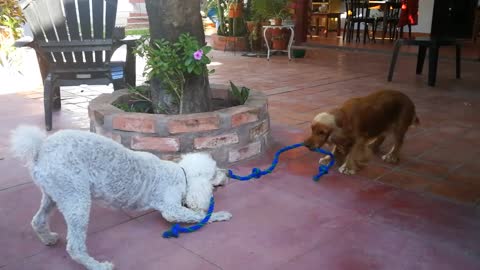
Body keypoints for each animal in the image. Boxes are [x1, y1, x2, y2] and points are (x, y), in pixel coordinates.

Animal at [10, 125, 232, 268]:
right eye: (215, 173)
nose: (227, 174)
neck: (182, 174)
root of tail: (40, 148)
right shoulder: (171, 209)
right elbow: (198, 216)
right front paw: (219, 215)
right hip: (76, 198)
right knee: (75, 247)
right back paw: (98, 266)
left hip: (54, 194)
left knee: (38, 220)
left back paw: (48, 238)